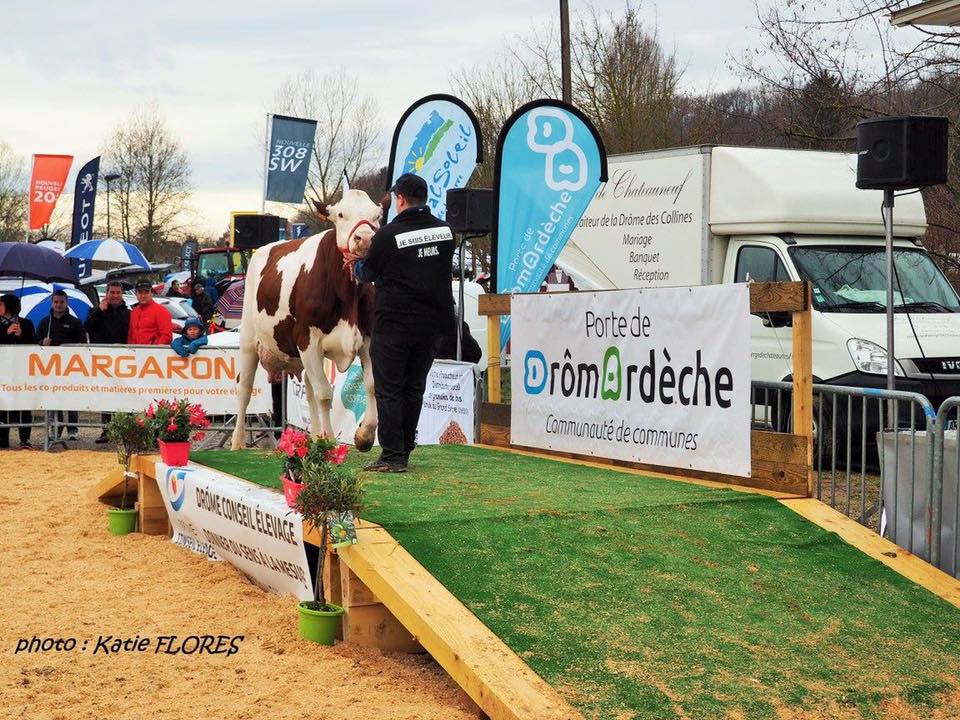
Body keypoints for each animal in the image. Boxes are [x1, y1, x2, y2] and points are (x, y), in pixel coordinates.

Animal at [230, 188, 382, 452]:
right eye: (340, 214)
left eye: (378, 215)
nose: (364, 238)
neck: (348, 297)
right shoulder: (307, 340)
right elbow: (324, 393)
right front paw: (329, 440)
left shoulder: (367, 337)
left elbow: (371, 384)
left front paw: (364, 435)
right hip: (249, 339)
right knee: (245, 388)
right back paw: (238, 442)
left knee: (309, 391)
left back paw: (314, 436)